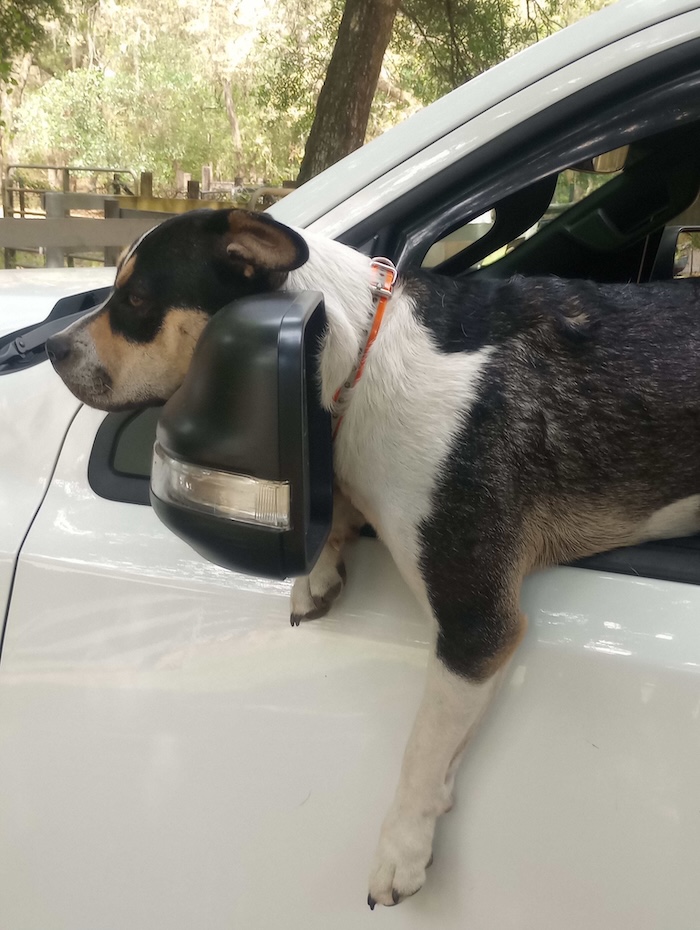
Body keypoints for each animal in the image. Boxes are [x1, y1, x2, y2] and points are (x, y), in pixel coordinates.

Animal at [46, 208, 700, 908]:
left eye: (137, 301)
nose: (50, 348)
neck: (358, 358)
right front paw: (318, 567)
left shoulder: (476, 627)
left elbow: (423, 747)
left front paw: (401, 845)